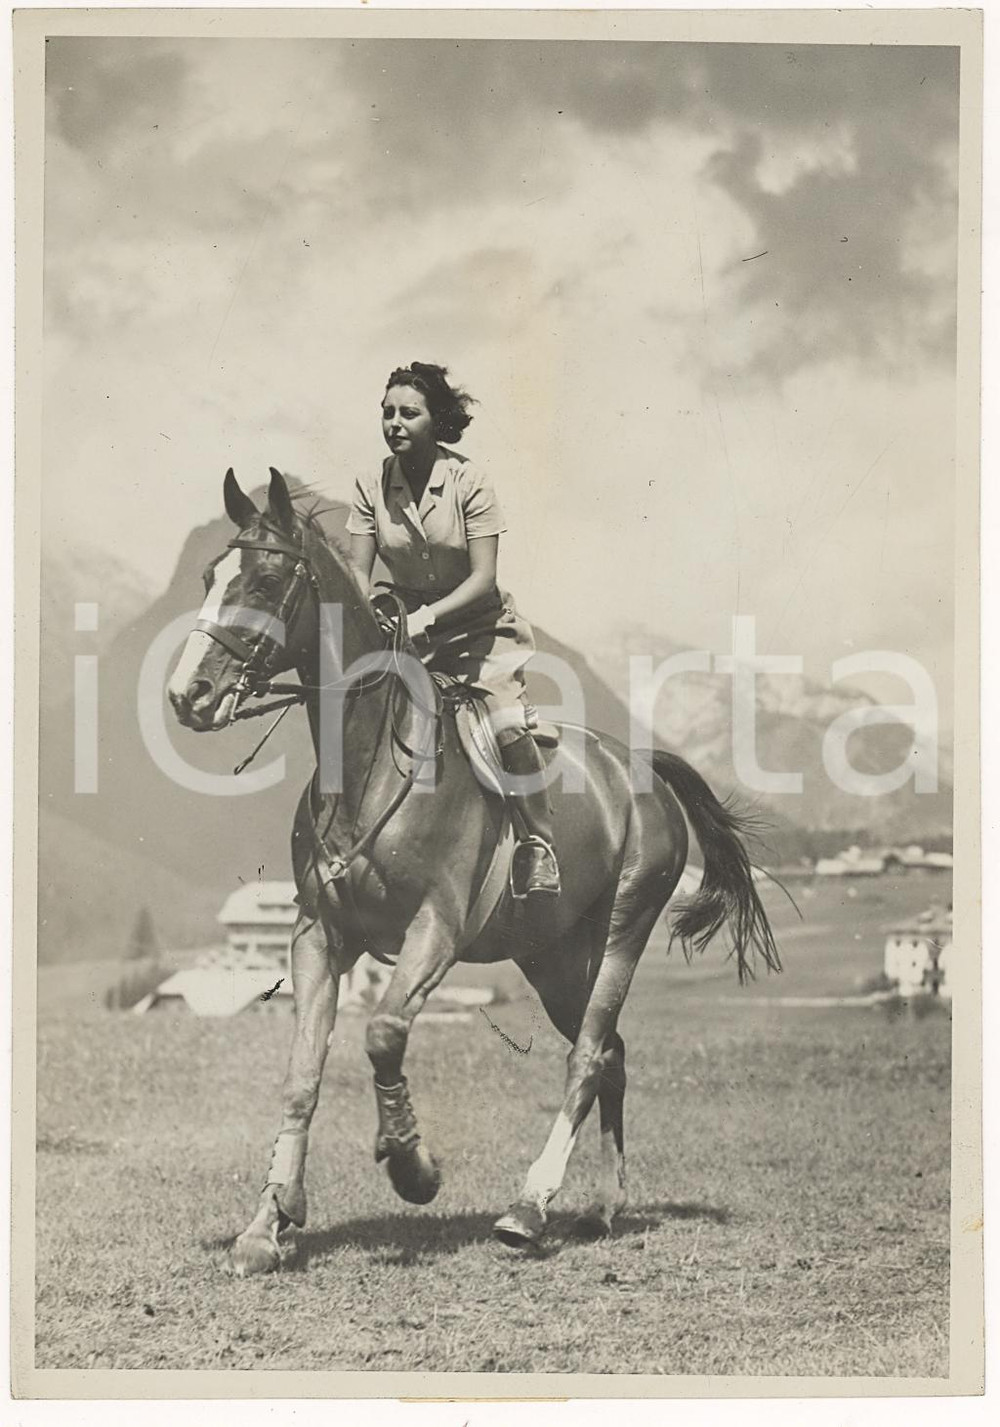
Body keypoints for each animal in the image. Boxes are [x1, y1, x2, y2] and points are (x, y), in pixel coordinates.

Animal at [167, 467, 780, 1275]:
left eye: (266, 582)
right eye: (210, 577)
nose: (188, 695)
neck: (365, 767)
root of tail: (643, 769)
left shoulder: (436, 928)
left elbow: (383, 1033)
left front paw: (411, 1166)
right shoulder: (318, 935)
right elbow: (303, 1072)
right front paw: (267, 1223)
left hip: (623, 927)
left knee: (588, 1055)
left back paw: (529, 1208)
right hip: (551, 956)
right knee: (611, 1053)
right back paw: (603, 1206)